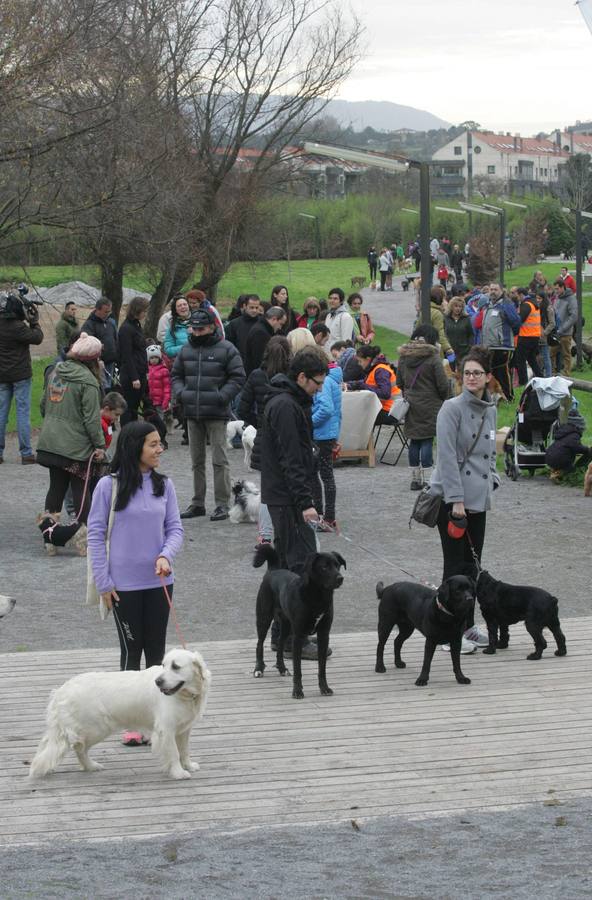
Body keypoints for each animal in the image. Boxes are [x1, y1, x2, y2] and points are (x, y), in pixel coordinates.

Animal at [30, 648, 212, 780]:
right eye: (163, 665)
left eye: (175, 666)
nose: (158, 682)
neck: (186, 695)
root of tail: (62, 690)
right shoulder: (165, 729)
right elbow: (174, 752)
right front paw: (178, 772)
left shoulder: (183, 729)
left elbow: (184, 750)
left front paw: (188, 765)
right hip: (95, 729)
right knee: (79, 747)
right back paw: (91, 765)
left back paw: (90, 766)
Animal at [251, 544, 344, 700]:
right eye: (324, 567)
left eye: (337, 565)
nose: (340, 578)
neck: (318, 597)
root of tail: (273, 570)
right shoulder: (298, 636)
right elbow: (298, 669)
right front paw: (297, 691)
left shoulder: (324, 635)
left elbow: (322, 667)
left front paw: (324, 688)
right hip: (263, 618)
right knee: (259, 644)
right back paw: (258, 669)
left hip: (286, 625)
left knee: (280, 645)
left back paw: (282, 668)